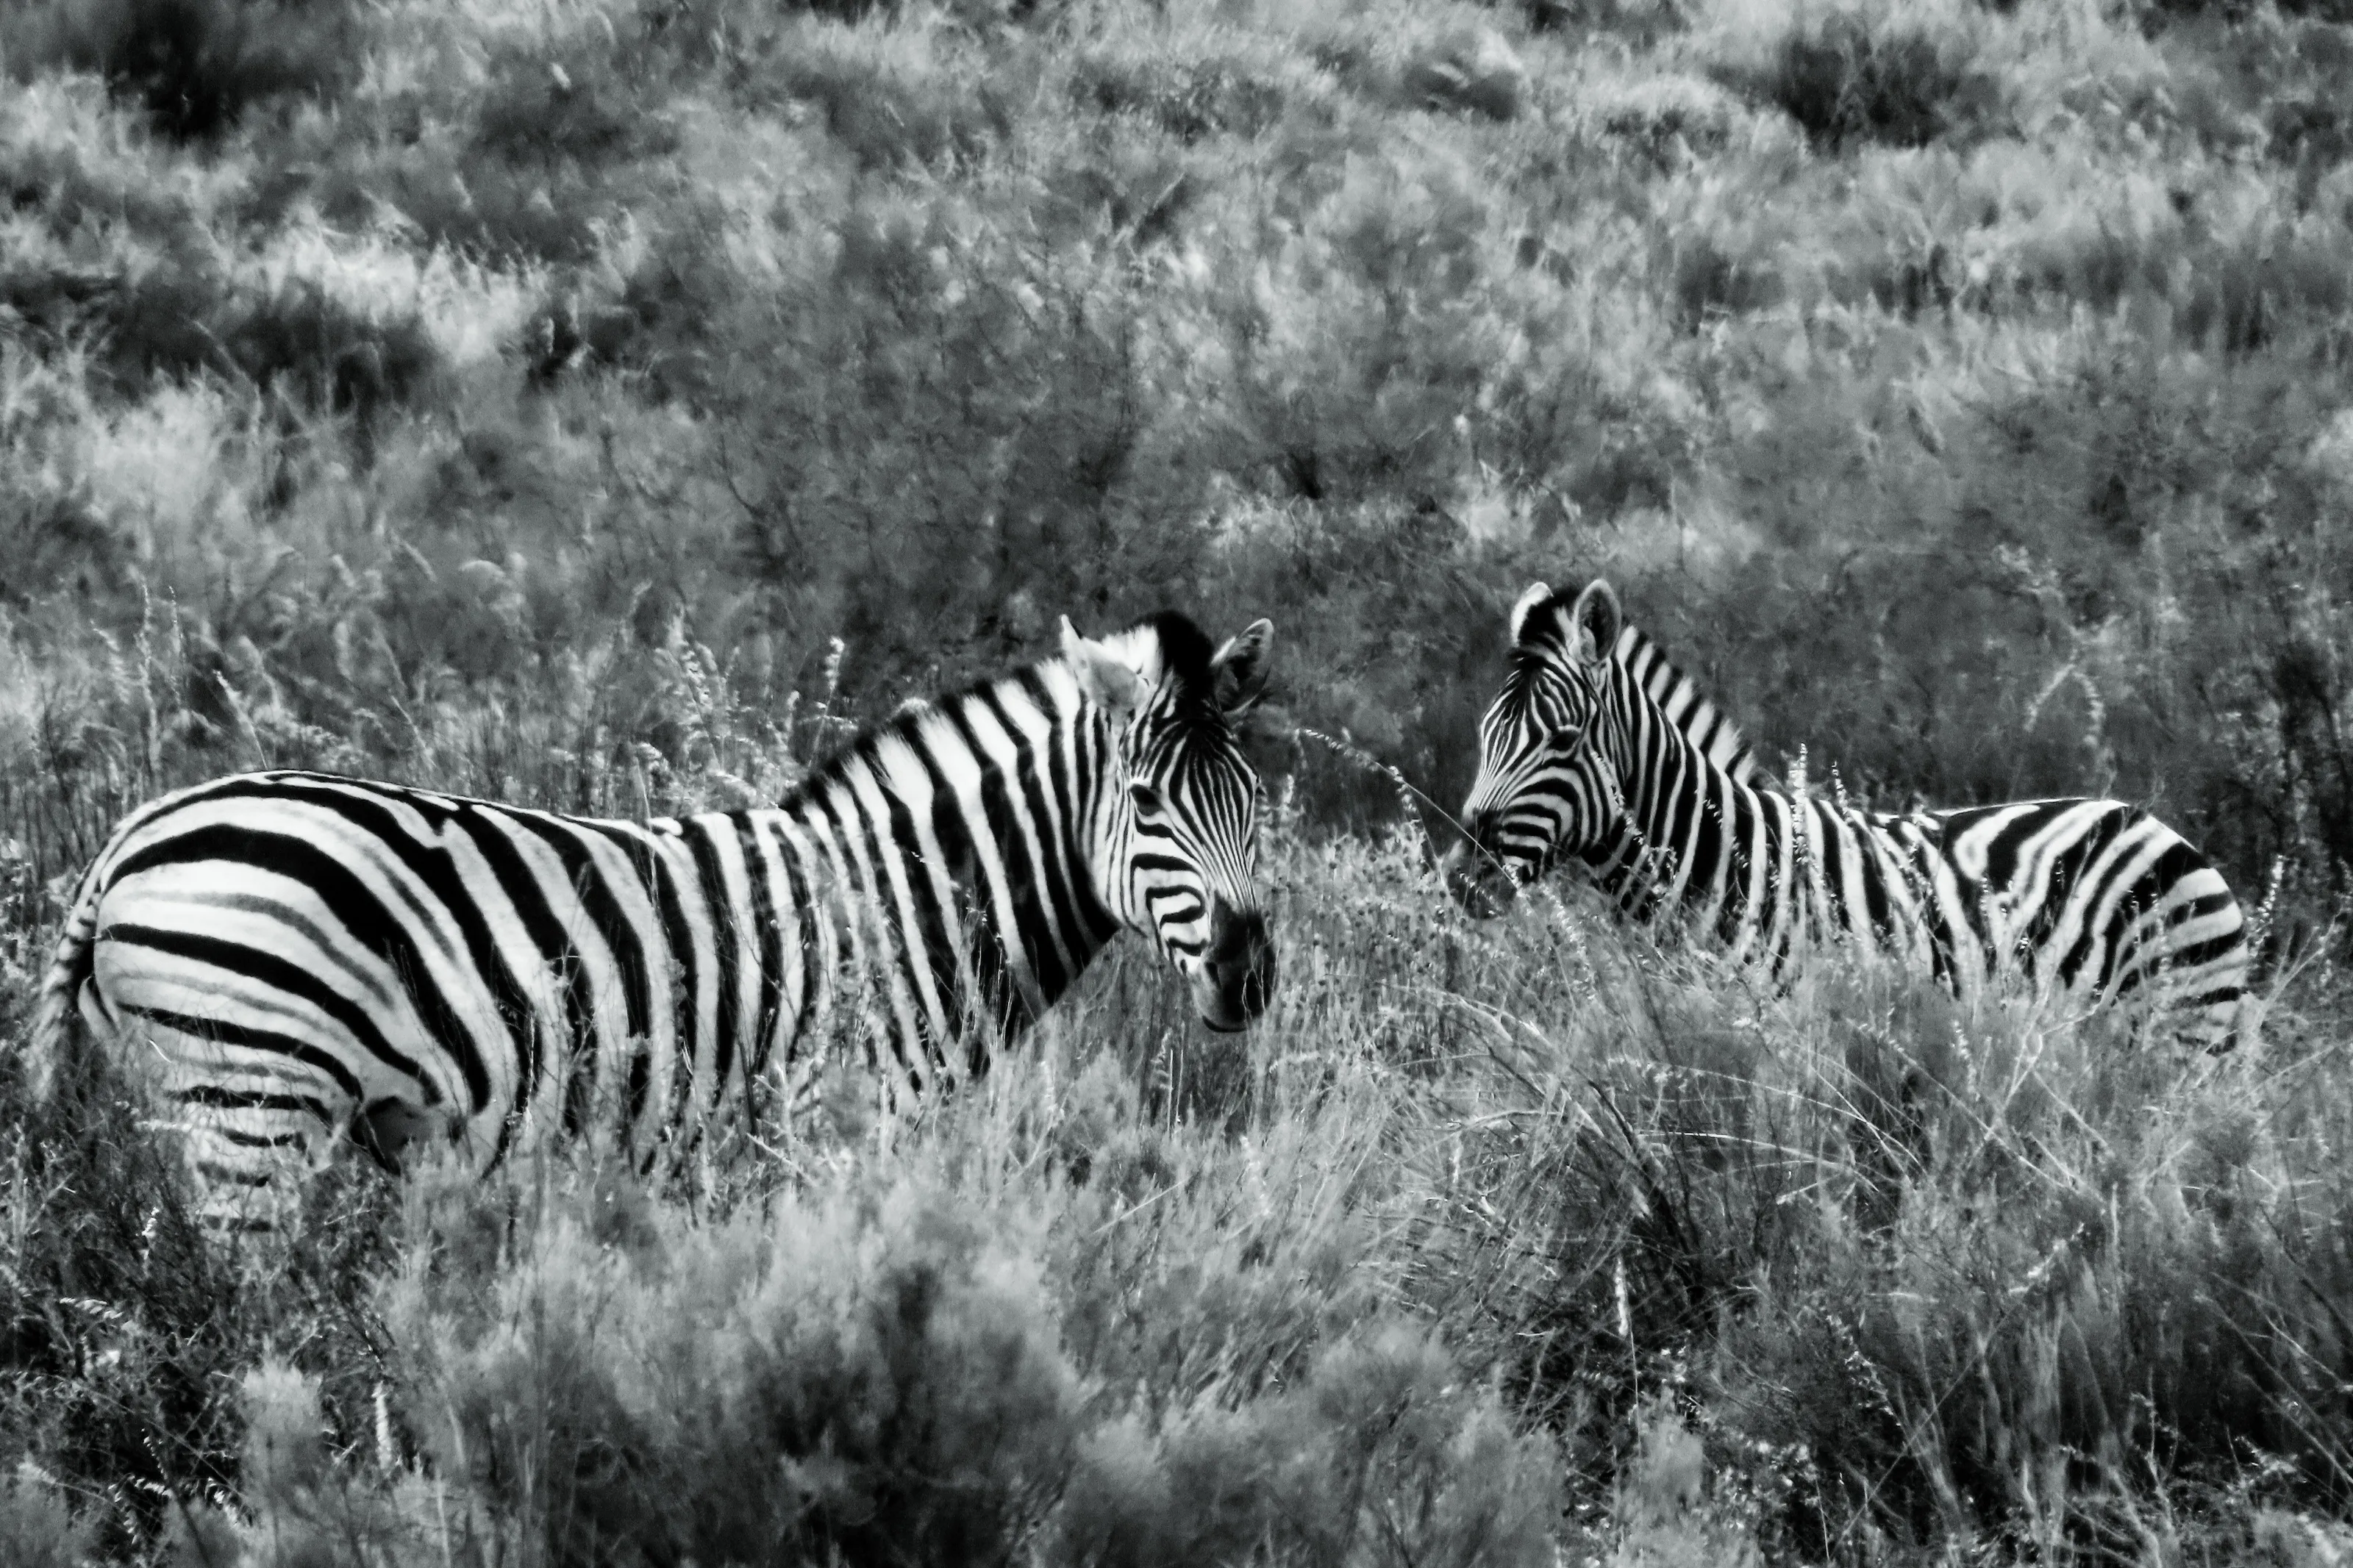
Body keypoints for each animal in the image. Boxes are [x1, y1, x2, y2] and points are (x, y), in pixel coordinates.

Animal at [28, 611, 1278, 1230]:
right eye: (1148, 804)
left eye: (1258, 800)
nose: (1248, 975)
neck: (905, 902)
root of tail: (125, 840)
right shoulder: (832, 1126)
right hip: (251, 1111)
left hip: (207, 1108)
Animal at [1441, 580, 2250, 1045]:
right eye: (1481, 737)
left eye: (1562, 740)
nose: (1460, 878)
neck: (1717, 863)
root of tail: (2159, 825)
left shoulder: (1785, 1031)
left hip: (2185, 1029)